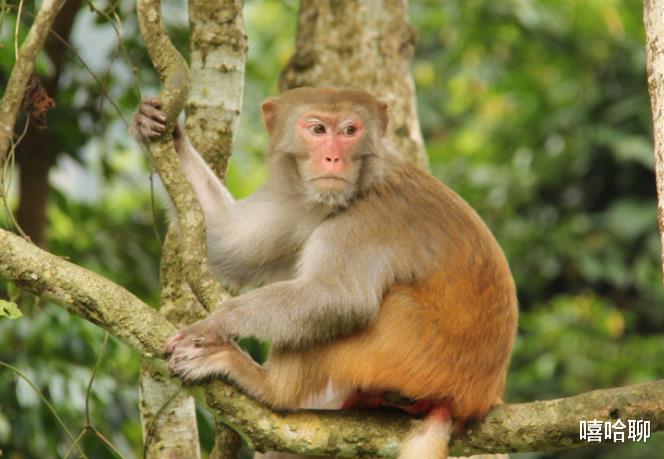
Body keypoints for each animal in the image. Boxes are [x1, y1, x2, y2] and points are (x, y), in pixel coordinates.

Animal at [135, 87, 520, 459]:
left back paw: (270, 388)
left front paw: (214, 323)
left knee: (356, 309)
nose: (333, 158)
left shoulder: (364, 224)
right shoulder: (299, 202)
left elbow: (338, 299)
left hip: (412, 354)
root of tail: (473, 400)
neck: (354, 191)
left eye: (350, 131)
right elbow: (230, 245)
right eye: (318, 130)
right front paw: (163, 130)